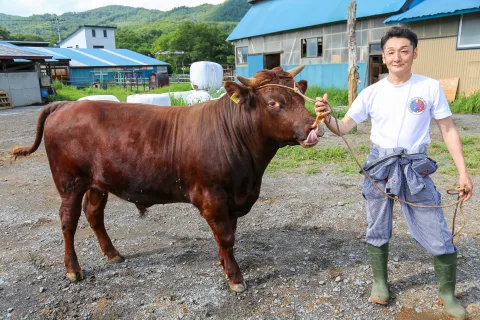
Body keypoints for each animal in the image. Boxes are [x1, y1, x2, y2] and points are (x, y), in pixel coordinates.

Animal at [11, 65, 324, 292]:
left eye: (300, 97)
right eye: (273, 103)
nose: (313, 128)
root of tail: (65, 105)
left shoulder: (231, 196)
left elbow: (227, 235)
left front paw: (223, 265)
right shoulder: (212, 195)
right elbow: (226, 236)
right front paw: (235, 277)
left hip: (97, 182)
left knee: (94, 214)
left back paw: (112, 254)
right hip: (70, 183)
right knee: (68, 222)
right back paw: (73, 269)